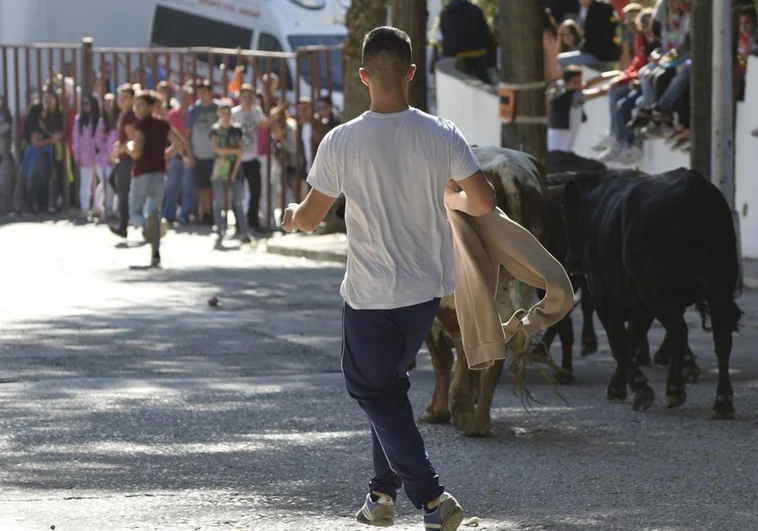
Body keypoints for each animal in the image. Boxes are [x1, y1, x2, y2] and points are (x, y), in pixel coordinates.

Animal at [422, 147, 552, 440]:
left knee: (466, 345)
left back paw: (464, 411)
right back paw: (479, 420)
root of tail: (507, 167)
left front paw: (439, 410)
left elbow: (441, 357)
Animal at [548, 169, 744, 420]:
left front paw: (638, 388)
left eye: (565, 213)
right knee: (720, 336)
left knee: (679, 331)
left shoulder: (604, 295)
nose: (570, 261)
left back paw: (675, 388)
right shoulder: (642, 303)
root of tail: (693, 183)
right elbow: (633, 336)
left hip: (658, 291)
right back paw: (722, 401)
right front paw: (618, 386)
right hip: (717, 287)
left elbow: (620, 341)